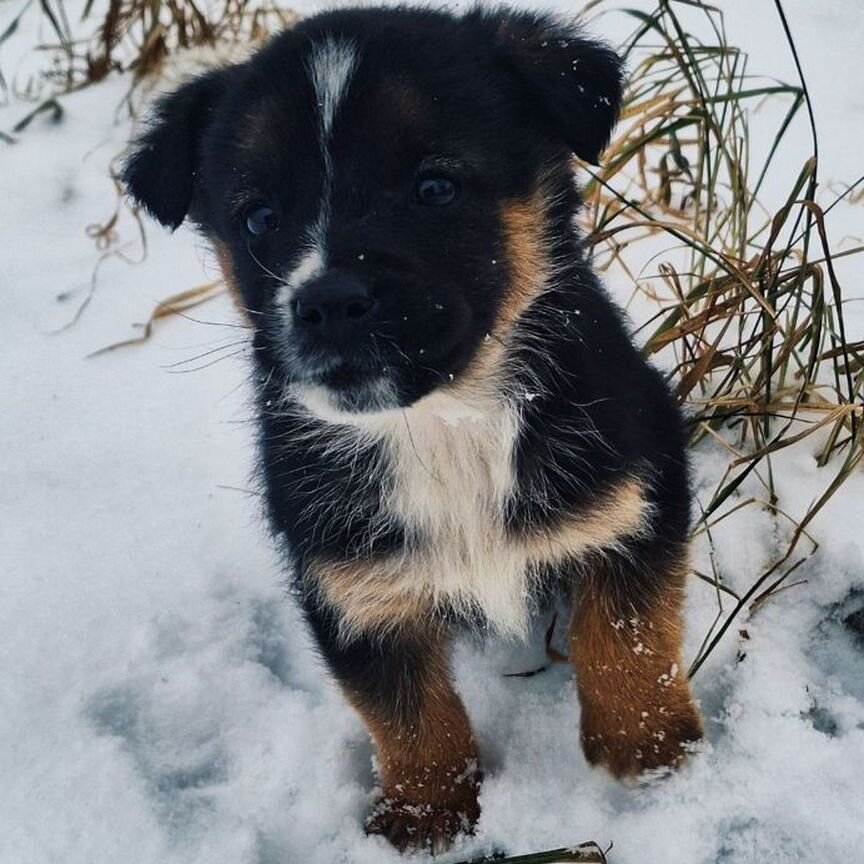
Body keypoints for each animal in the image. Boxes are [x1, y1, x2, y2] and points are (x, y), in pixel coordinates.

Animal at [123, 5, 704, 856]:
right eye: (258, 216)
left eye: (436, 186)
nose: (328, 303)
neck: (442, 425)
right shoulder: (348, 580)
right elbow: (403, 710)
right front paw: (428, 814)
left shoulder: (637, 486)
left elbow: (628, 630)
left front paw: (651, 750)